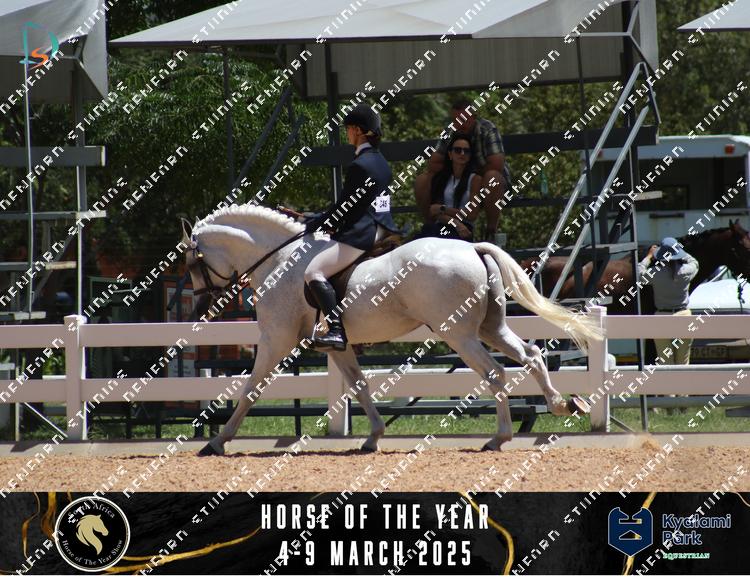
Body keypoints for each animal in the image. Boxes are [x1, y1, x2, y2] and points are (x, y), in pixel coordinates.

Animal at [182, 204, 603, 455]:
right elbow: (358, 385)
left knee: (496, 372)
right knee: (531, 356)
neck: (281, 260)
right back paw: (561, 404)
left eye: (190, 263)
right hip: (490, 327)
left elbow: (251, 389)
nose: (200, 306)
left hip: (459, 333)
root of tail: (473, 248)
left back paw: (499, 437)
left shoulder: (275, 340)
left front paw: (217, 441)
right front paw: (373, 437)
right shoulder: (338, 346)